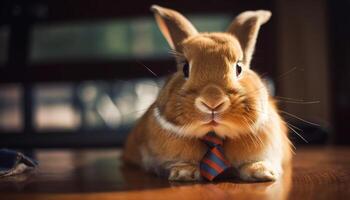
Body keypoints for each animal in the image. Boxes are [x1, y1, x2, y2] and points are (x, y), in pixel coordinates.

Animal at [121, 4, 292, 182]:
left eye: (239, 68)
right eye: (185, 68)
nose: (212, 102)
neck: (213, 135)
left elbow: (254, 162)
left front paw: (263, 173)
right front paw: (184, 174)